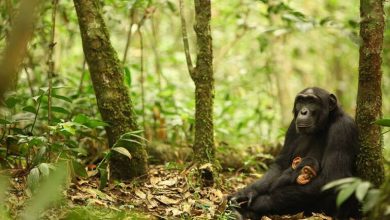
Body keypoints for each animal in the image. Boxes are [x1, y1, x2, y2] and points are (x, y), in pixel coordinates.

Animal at [229, 87, 360, 220]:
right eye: (301, 101)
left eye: (312, 102)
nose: (303, 112)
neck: (325, 124)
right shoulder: (292, 126)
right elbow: (280, 165)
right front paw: (246, 193)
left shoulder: (343, 129)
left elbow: (331, 177)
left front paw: (259, 203)